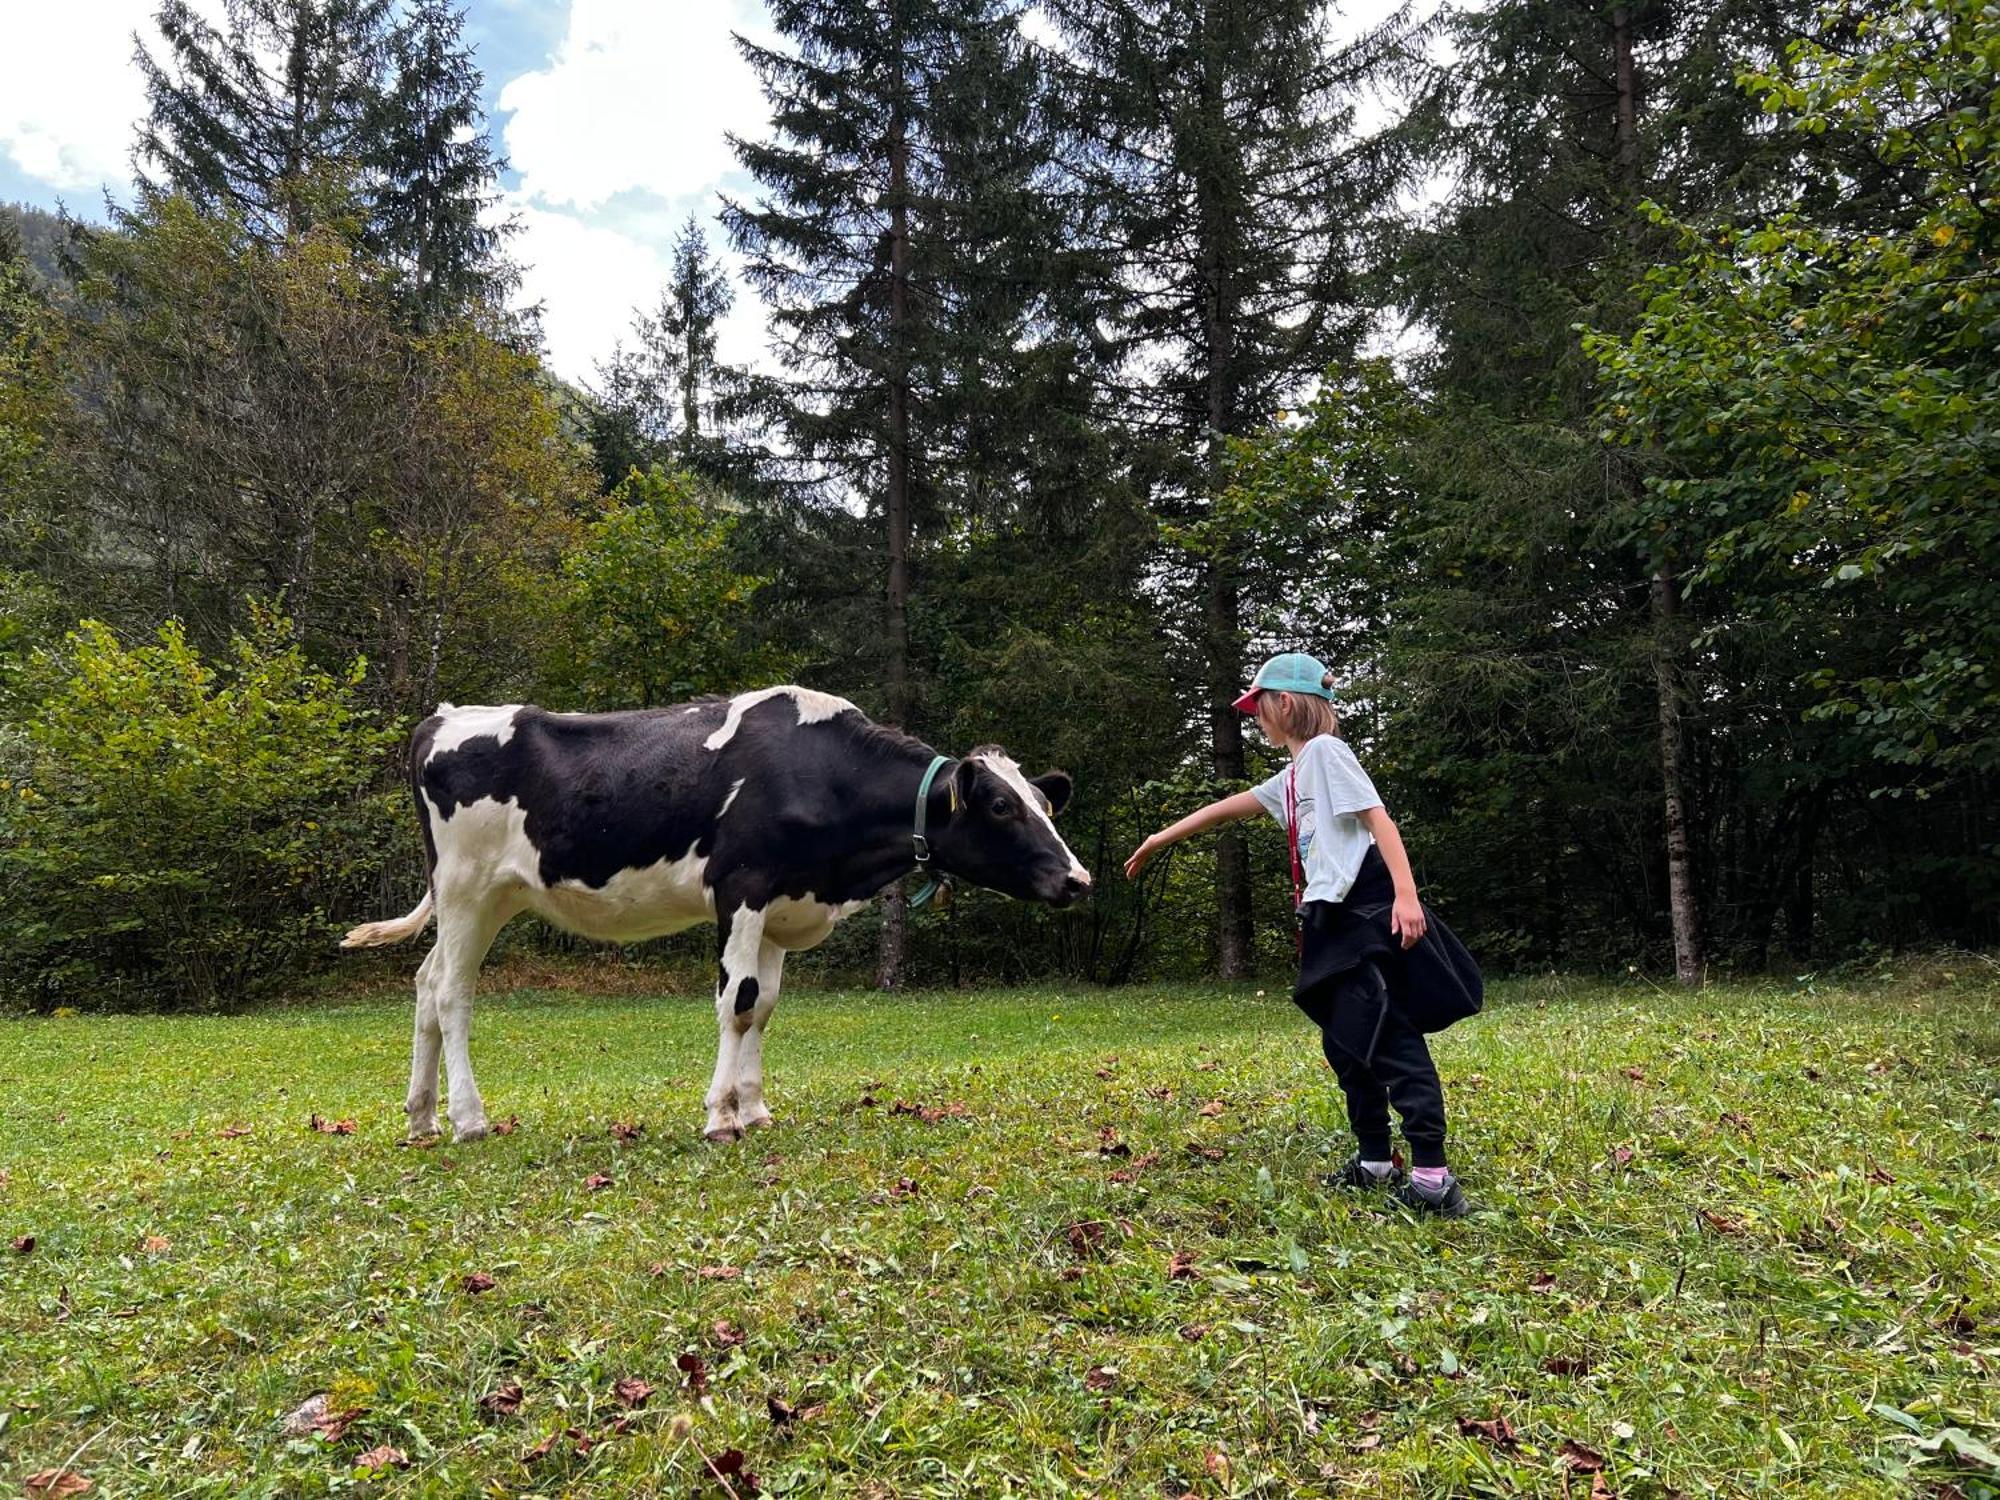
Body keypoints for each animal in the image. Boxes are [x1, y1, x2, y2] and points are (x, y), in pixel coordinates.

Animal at [344, 688, 1096, 1144]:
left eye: (1044, 803)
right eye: (1000, 806)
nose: (1079, 879)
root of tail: (442, 718)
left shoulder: (784, 906)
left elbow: (763, 1006)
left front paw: (754, 1108)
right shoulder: (741, 886)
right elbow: (736, 1001)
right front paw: (719, 1117)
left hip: (489, 897)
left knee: (424, 984)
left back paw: (421, 1117)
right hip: (467, 887)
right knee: (452, 994)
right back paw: (469, 1119)